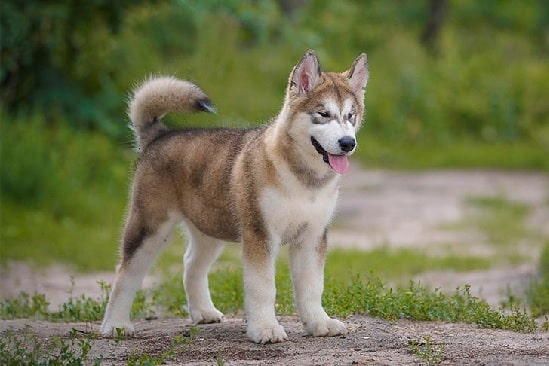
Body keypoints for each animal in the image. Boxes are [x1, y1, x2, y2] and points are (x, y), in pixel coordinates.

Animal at [101, 50, 370, 344]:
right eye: (323, 113)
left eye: (351, 115)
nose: (348, 143)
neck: (304, 181)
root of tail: (160, 135)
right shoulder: (260, 234)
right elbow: (263, 287)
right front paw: (265, 328)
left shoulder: (312, 237)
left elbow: (312, 287)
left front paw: (319, 323)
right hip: (150, 226)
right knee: (126, 272)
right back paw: (115, 325)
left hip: (209, 227)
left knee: (191, 264)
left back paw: (203, 312)